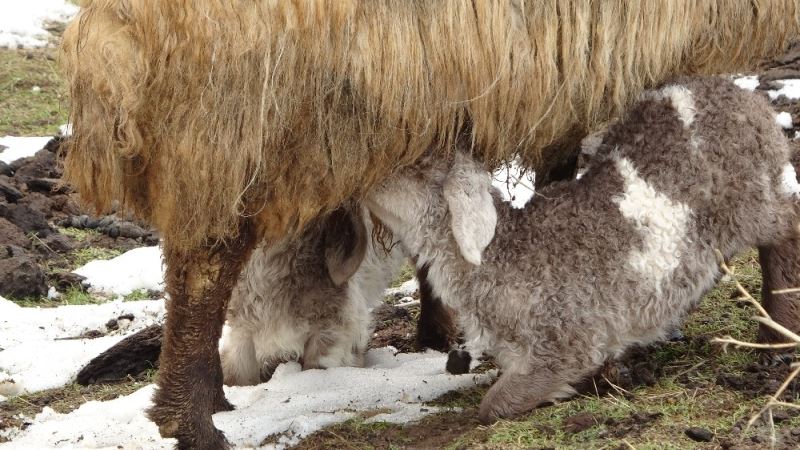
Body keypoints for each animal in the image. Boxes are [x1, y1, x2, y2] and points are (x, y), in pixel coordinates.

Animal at [364, 77, 800, 422]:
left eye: (416, 167)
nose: (366, 181)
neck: (505, 253)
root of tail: (745, 97)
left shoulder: (562, 337)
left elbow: (495, 405)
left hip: (751, 198)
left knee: (787, 230)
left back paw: (775, 335)